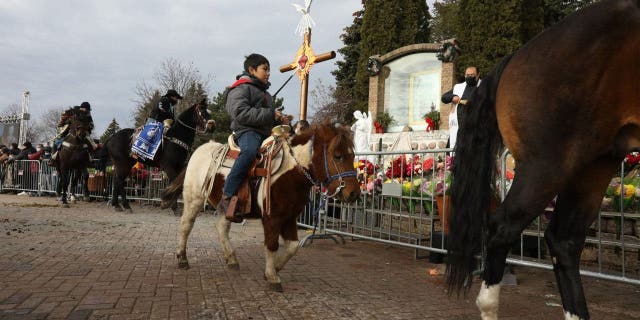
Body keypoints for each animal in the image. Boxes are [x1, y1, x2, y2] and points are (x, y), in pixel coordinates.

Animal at [162, 123, 362, 292]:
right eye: (337, 155)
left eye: (353, 155)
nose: (354, 193)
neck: (291, 173)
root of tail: (199, 150)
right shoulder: (272, 219)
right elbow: (272, 245)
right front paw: (273, 276)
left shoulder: (289, 218)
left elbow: (293, 246)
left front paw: (275, 269)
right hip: (193, 199)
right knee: (186, 226)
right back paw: (182, 258)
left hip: (226, 208)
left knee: (221, 227)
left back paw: (231, 259)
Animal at [444, 0, 640, 320]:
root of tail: (517, 56)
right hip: (548, 166)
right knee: (503, 227)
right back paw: (488, 305)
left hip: (594, 164)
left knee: (564, 241)